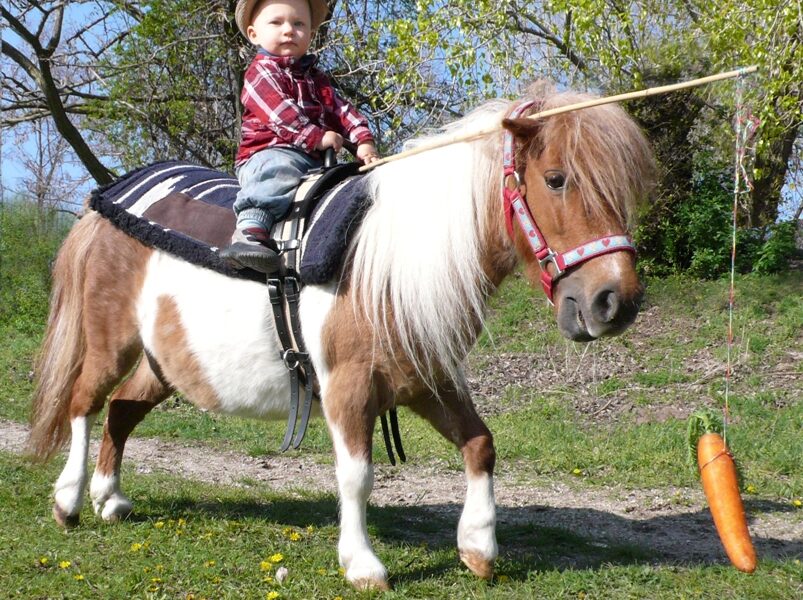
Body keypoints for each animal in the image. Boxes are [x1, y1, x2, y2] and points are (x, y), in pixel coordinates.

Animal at [28, 83, 654, 590]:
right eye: (556, 179)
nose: (614, 302)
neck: (388, 264)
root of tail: (106, 201)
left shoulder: (428, 380)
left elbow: (480, 444)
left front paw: (478, 546)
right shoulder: (348, 389)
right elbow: (357, 476)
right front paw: (362, 564)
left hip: (163, 363)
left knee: (121, 410)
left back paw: (110, 498)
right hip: (111, 343)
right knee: (84, 403)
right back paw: (68, 500)